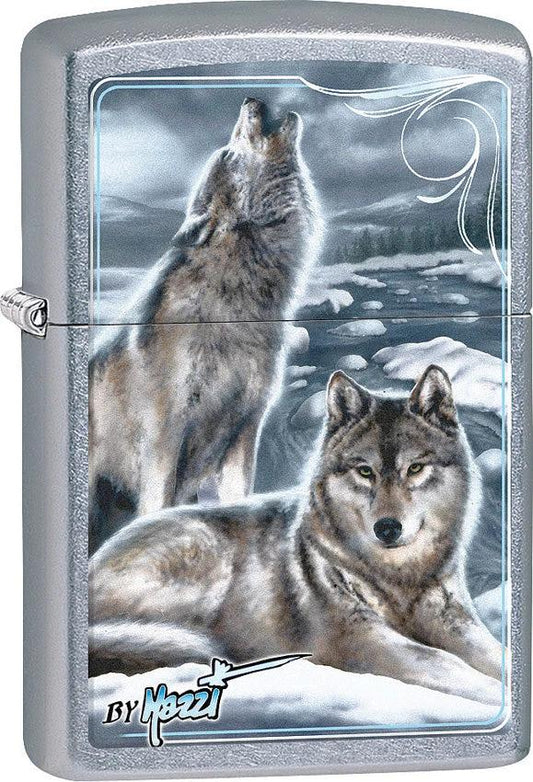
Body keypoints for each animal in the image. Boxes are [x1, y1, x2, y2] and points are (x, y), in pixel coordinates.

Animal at [89, 365, 504, 706]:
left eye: (415, 468)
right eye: (365, 471)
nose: (387, 528)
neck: (399, 580)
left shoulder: (456, 623)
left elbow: (496, 654)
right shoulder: (361, 638)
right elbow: (443, 659)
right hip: (205, 556)